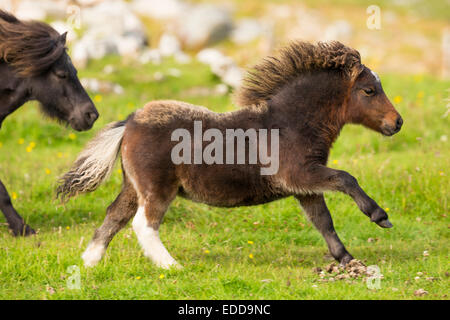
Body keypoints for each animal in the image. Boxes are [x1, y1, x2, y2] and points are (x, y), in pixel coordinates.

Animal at [58, 41, 402, 268]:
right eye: (369, 90)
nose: (397, 122)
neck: (289, 122)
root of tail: (130, 122)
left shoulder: (304, 185)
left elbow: (323, 220)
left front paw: (347, 258)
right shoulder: (300, 174)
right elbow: (346, 179)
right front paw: (379, 216)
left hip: (133, 186)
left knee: (114, 215)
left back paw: (88, 262)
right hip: (157, 188)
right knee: (144, 224)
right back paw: (172, 266)